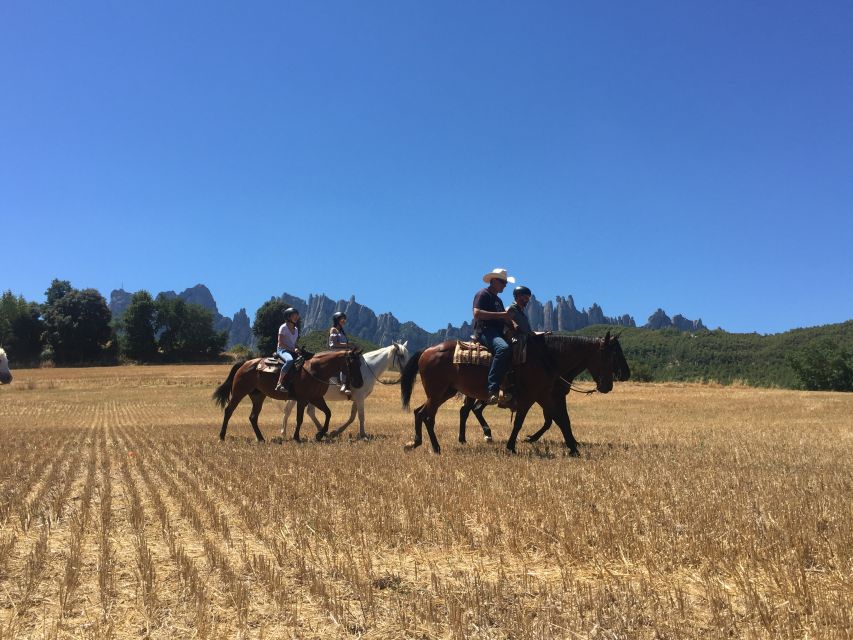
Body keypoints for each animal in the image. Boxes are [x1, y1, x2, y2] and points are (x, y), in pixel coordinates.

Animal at [213, 348, 362, 442]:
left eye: (360, 363)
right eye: (352, 363)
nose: (359, 382)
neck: (316, 370)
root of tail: (245, 363)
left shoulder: (316, 398)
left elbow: (328, 413)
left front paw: (320, 434)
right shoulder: (302, 399)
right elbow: (299, 419)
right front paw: (297, 437)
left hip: (258, 396)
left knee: (253, 417)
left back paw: (261, 438)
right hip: (239, 393)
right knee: (228, 411)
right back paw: (221, 437)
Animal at [282, 340, 410, 440]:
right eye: (401, 356)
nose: (408, 372)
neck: (368, 368)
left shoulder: (357, 398)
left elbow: (352, 416)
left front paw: (335, 432)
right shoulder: (360, 397)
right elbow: (361, 416)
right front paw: (363, 435)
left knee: (309, 412)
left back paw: (322, 432)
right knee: (289, 411)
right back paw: (285, 432)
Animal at [398, 332, 624, 452]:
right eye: (610, 355)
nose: (608, 386)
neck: (545, 357)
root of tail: (426, 350)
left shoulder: (545, 395)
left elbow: (560, 420)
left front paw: (573, 448)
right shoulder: (531, 396)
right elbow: (521, 422)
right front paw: (511, 446)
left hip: (445, 392)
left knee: (421, 412)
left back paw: (417, 442)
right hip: (438, 392)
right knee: (428, 416)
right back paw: (436, 447)